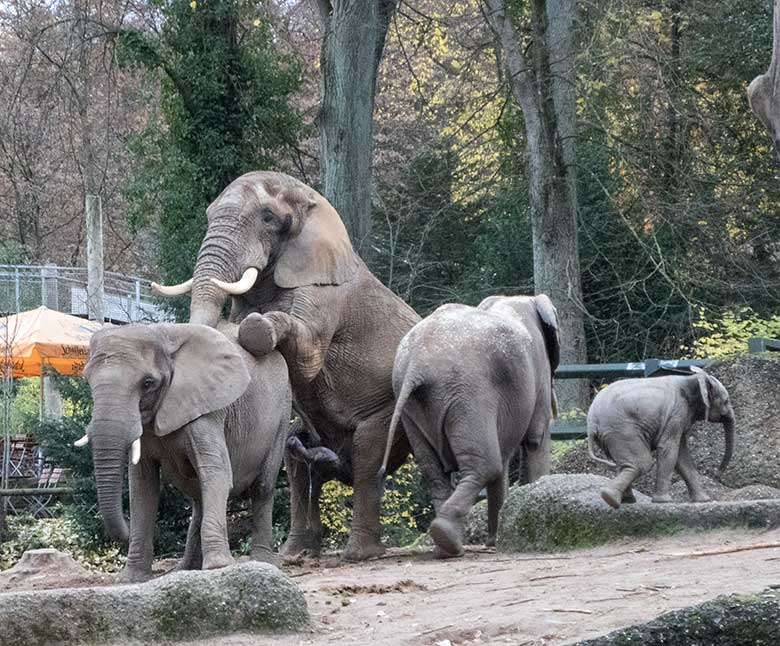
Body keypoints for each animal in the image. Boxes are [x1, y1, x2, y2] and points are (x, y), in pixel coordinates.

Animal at [77, 322, 290, 584]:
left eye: (148, 383)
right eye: (87, 380)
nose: (123, 532)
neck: (164, 336)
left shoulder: (207, 409)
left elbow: (217, 472)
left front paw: (219, 567)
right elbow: (142, 487)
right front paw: (131, 579)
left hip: (282, 413)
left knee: (262, 487)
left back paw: (262, 562)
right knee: (198, 496)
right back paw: (184, 570)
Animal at [153, 171, 420, 560]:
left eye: (268, 218)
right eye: (209, 215)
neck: (311, 202)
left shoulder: (324, 292)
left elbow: (307, 358)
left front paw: (256, 328)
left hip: (391, 410)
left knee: (367, 454)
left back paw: (360, 553)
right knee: (297, 459)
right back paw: (295, 551)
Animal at [380, 296, 556, 560]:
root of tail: (416, 365)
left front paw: (495, 541)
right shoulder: (539, 377)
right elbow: (536, 440)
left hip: (412, 404)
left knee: (436, 473)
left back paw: (445, 546)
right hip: (468, 395)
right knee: (486, 465)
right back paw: (448, 539)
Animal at [588, 370, 736, 512]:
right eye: (726, 401)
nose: (717, 474)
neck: (692, 378)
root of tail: (591, 422)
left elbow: (682, 456)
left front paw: (704, 500)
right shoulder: (676, 413)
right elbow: (669, 448)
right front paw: (664, 501)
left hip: (610, 435)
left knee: (623, 463)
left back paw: (624, 500)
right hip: (622, 430)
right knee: (642, 463)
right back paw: (610, 498)